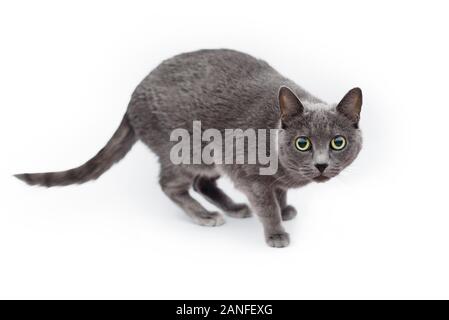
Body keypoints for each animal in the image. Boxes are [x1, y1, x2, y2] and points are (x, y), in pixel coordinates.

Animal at [15, 48, 362, 248]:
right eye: (303, 143)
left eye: (337, 142)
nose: (321, 164)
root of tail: (132, 96)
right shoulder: (247, 172)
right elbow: (267, 204)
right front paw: (276, 231)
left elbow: (280, 192)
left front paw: (285, 207)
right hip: (186, 151)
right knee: (171, 185)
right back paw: (206, 215)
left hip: (208, 157)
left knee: (202, 183)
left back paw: (233, 208)